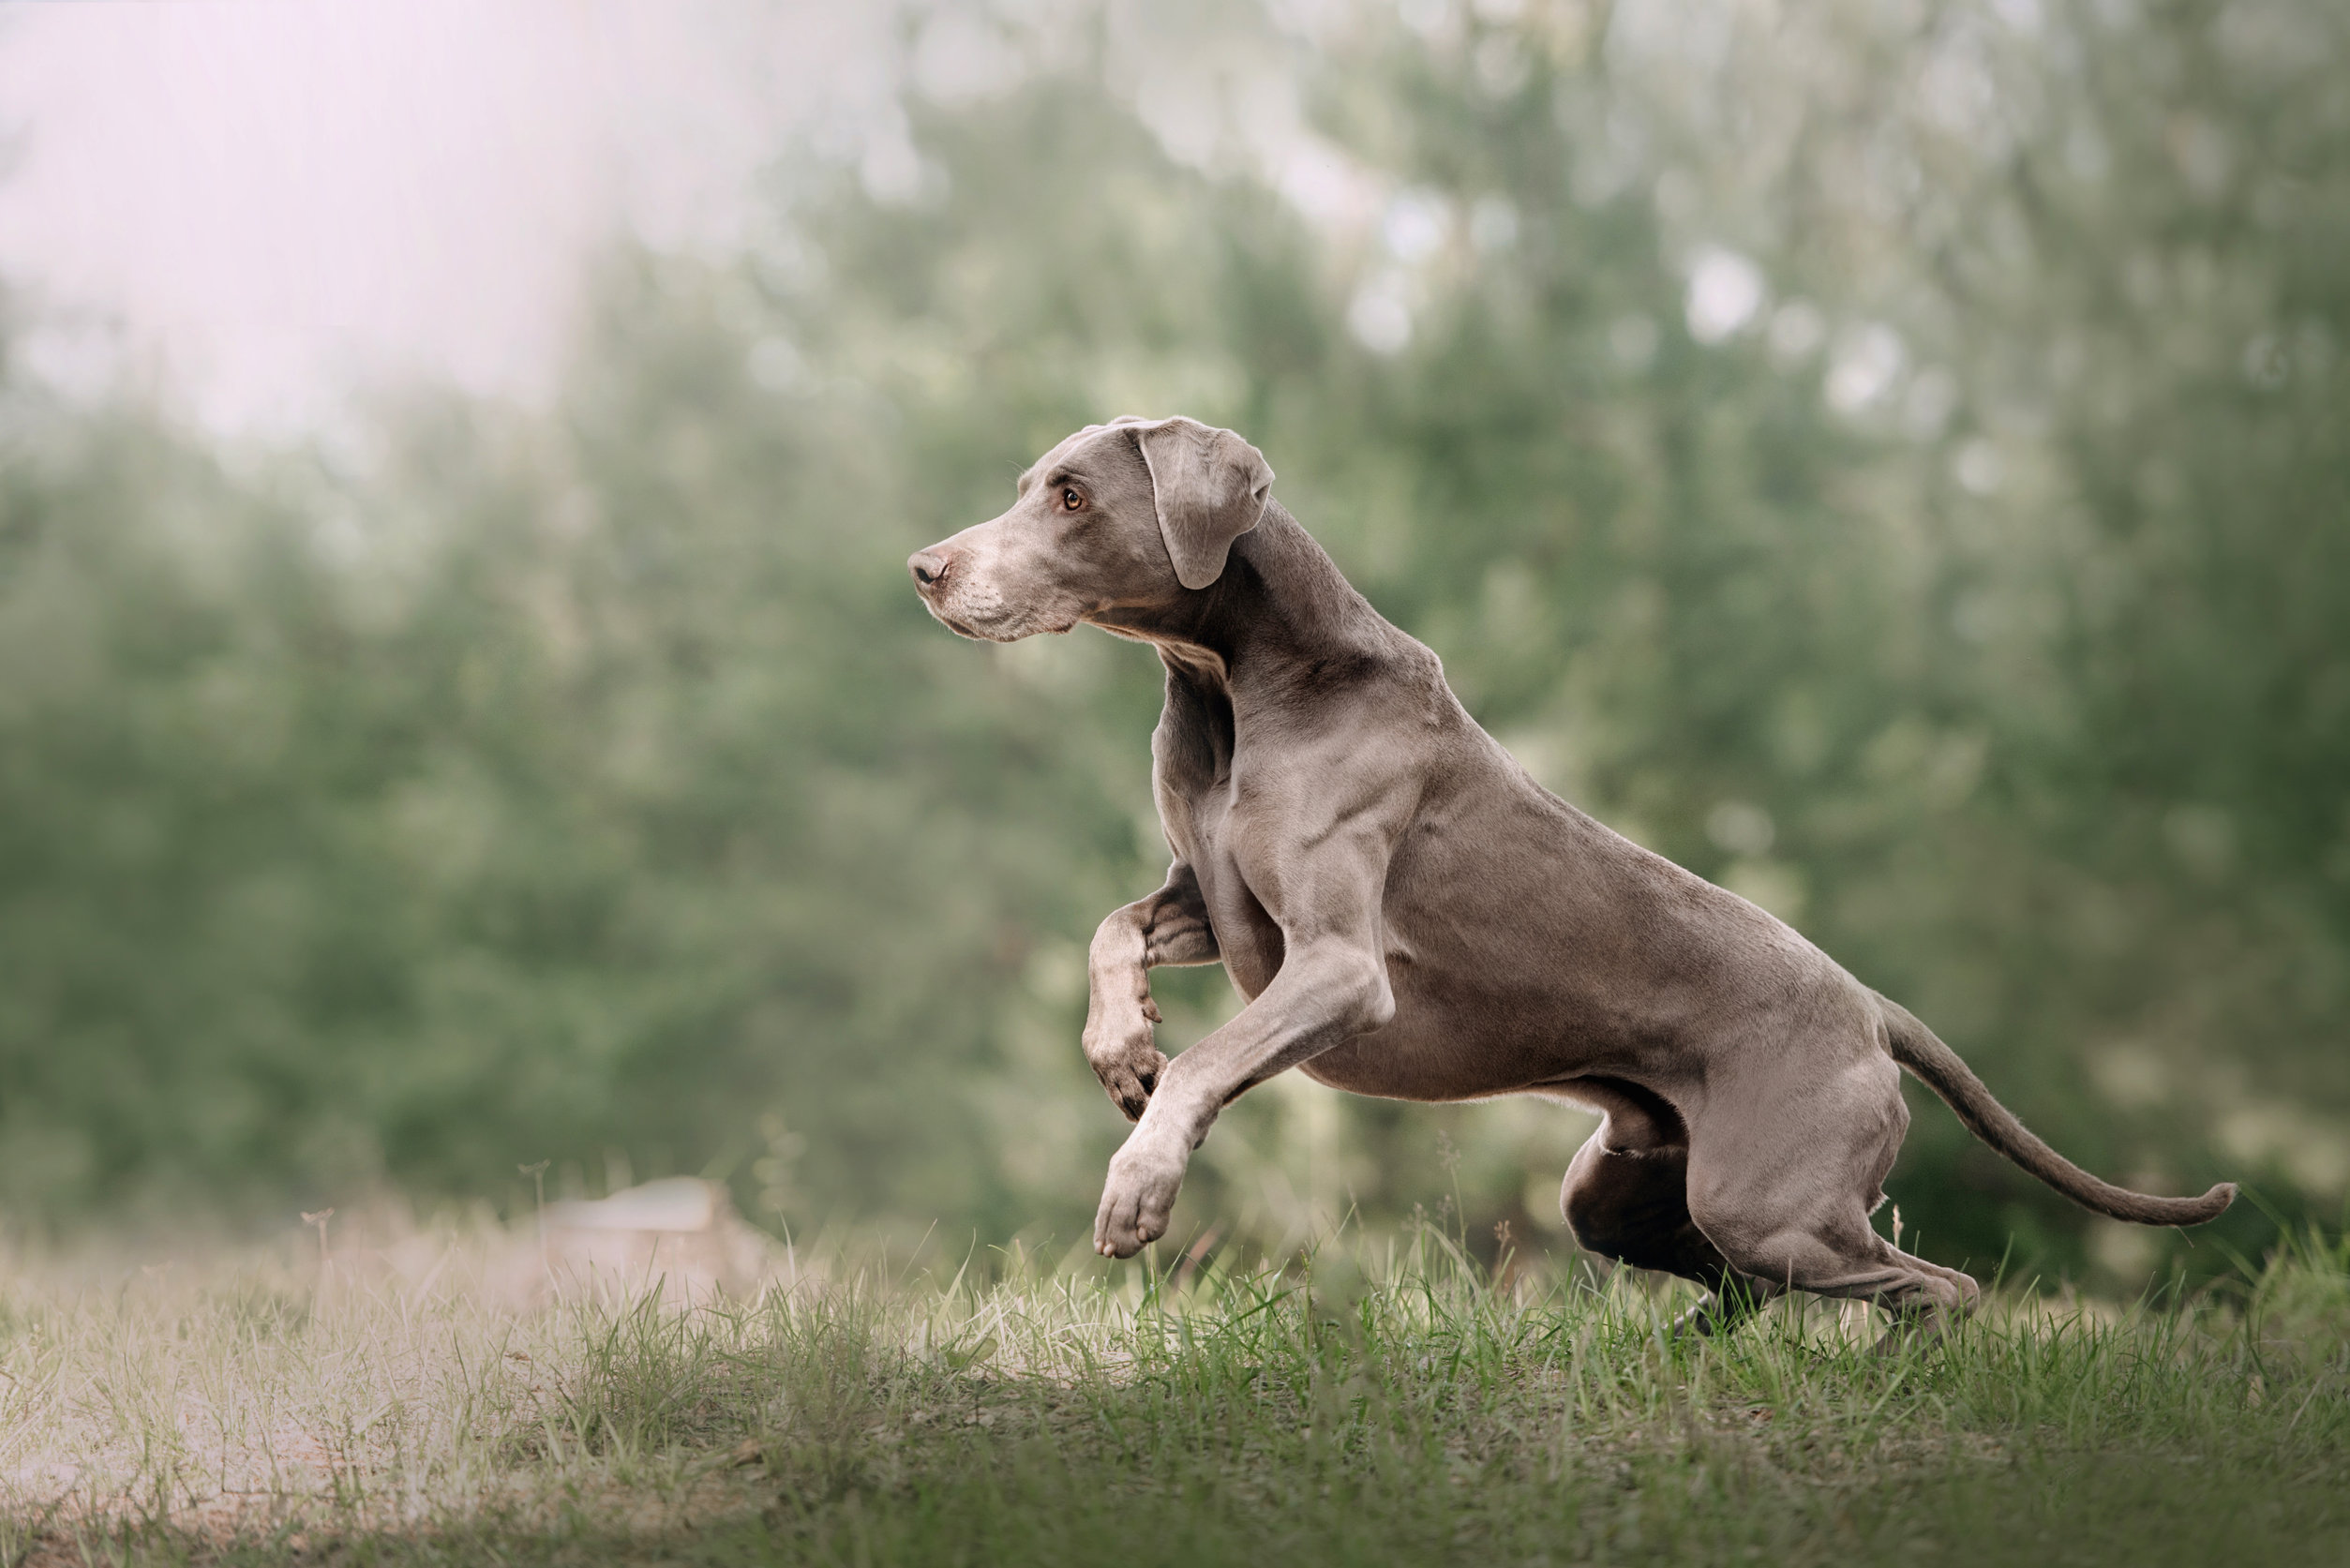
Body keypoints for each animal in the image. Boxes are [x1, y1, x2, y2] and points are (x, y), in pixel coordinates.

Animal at [906, 420, 2227, 1353]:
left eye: (1072, 497)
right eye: (1030, 483)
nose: (924, 567)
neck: (1235, 678)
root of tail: (1869, 1007)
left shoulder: (1335, 964)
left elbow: (1204, 1061)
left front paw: (1138, 1181)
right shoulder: (1207, 891)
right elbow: (1110, 926)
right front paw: (1120, 1044)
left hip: (1767, 1196)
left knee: (1931, 1285)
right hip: (1623, 1186)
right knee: (1747, 1290)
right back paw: (1689, 1349)